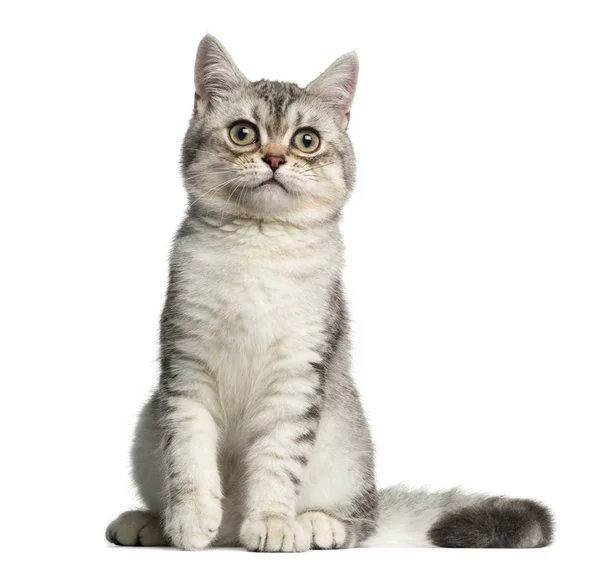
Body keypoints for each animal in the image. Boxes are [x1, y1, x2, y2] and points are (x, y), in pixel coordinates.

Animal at [104, 34, 552, 552]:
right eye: (243, 133)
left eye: (306, 140)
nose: (275, 158)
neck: (260, 244)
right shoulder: (186, 370)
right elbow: (188, 457)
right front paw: (189, 520)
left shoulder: (297, 375)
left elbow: (277, 463)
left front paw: (272, 523)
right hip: (147, 425)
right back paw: (150, 522)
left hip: (347, 443)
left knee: (362, 521)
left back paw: (314, 524)